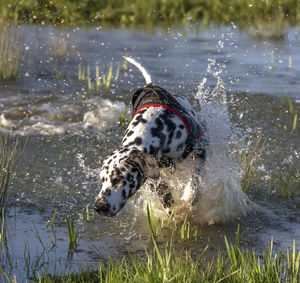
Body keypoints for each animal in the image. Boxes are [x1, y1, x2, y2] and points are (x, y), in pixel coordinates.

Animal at [94, 57, 206, 217]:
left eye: (118, 179)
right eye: (101, 180)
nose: (98, 206)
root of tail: (149, 86)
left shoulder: (201, 147)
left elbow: (195, 180)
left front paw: (189, 196)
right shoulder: (155, 180)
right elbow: (167, 202)